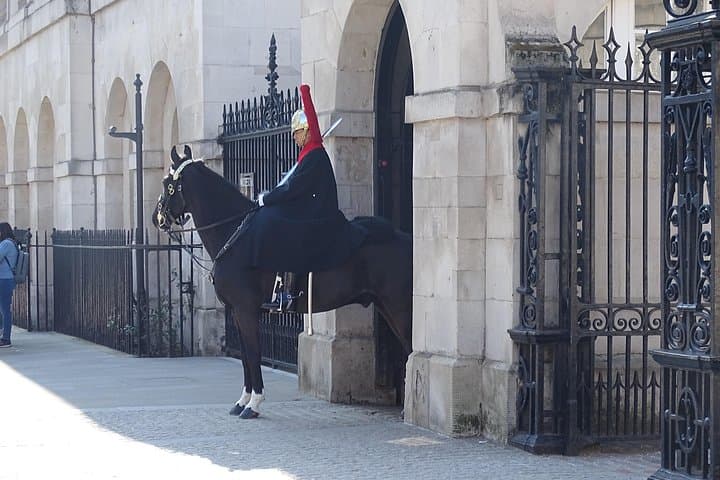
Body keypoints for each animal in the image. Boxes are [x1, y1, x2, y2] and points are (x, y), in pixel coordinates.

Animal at [153, 145, 412, 419]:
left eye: (167, 184)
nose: (156, 218)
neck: (234, 234)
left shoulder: (246, 310)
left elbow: (253, 353)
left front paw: (254, 403)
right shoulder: (236, 312)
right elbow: (245, 356)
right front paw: (243, 401)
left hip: (400, 307)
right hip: (386, 306)